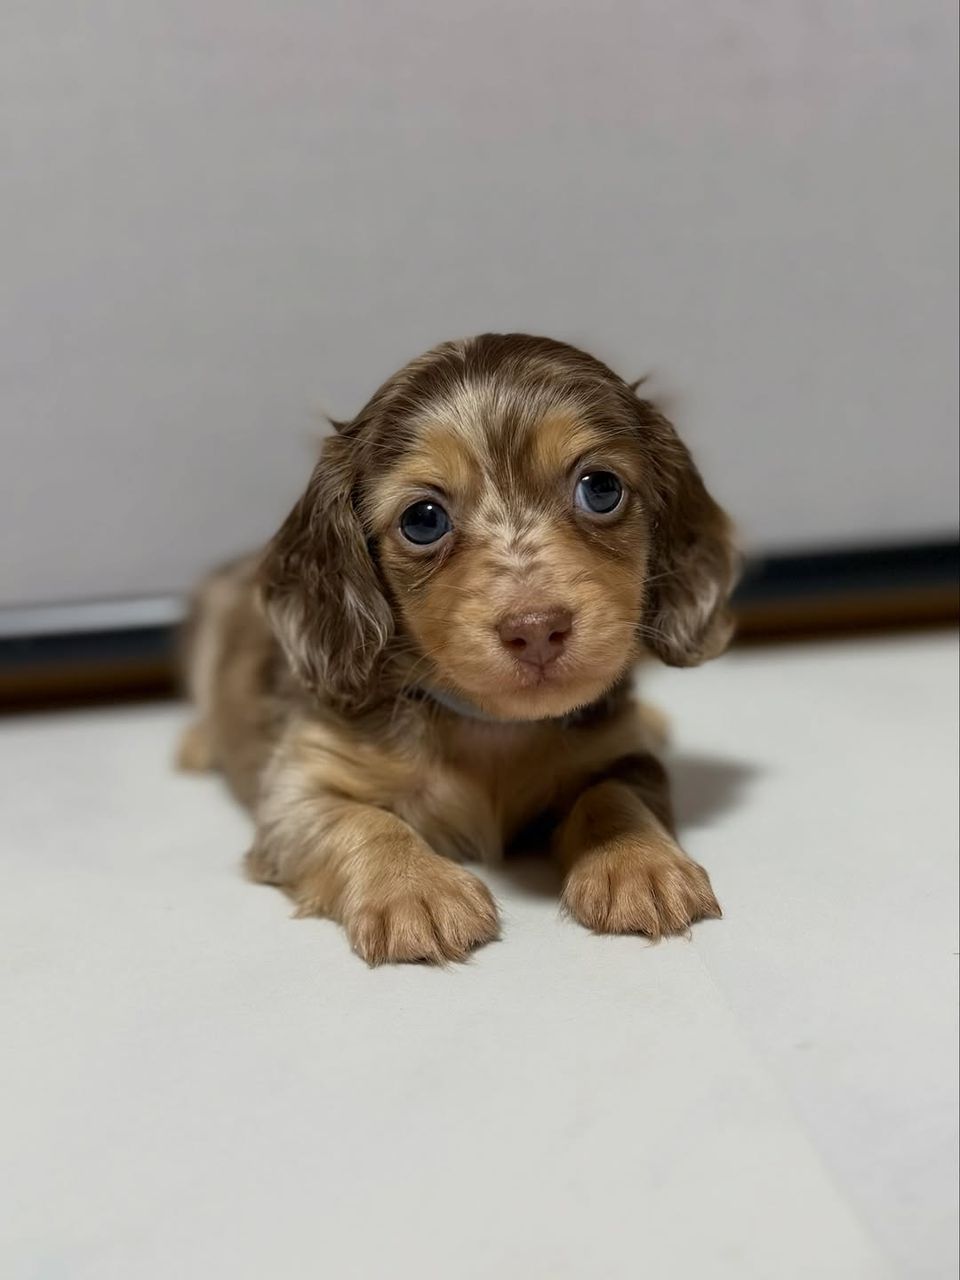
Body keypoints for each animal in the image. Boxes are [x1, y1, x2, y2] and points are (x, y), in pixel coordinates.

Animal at [178, 333, 738, 964]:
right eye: (424, 520)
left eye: (601, 488)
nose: (536, 628)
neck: (488, 728)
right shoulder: (298, 793)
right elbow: (363, 821)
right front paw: (413, 887)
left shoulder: (621, 756)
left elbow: (612, 794)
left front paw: (639, 861)